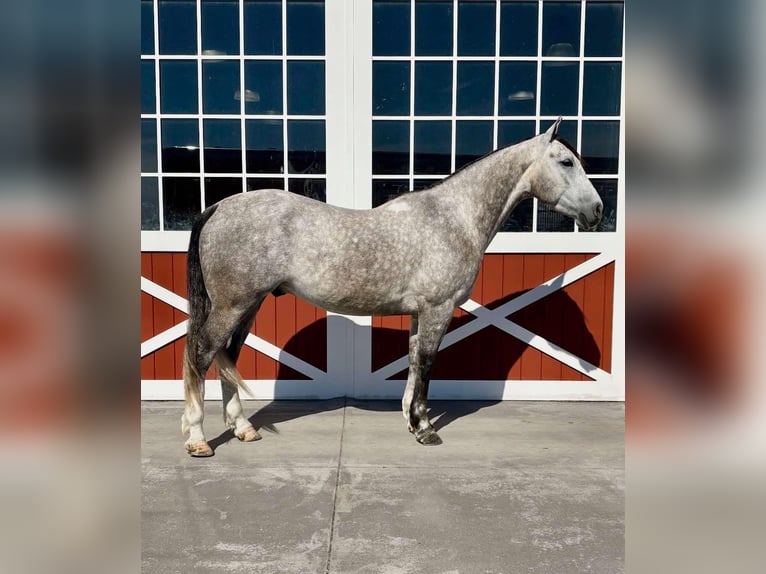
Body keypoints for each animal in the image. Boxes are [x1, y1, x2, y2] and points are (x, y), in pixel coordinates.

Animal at [181, 118, 603, 456]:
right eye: (566, 162)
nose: (598, 211)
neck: (453, 218)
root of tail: (217, 207)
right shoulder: (437, 309)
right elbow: (428, 364)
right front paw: (426, 429)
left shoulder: (421, 313)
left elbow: (414, 361)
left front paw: (412, 421)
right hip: (232, 305)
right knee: (202, 353)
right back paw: (198, 438)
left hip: (247, 305)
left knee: (227, 356)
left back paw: (243, 429)